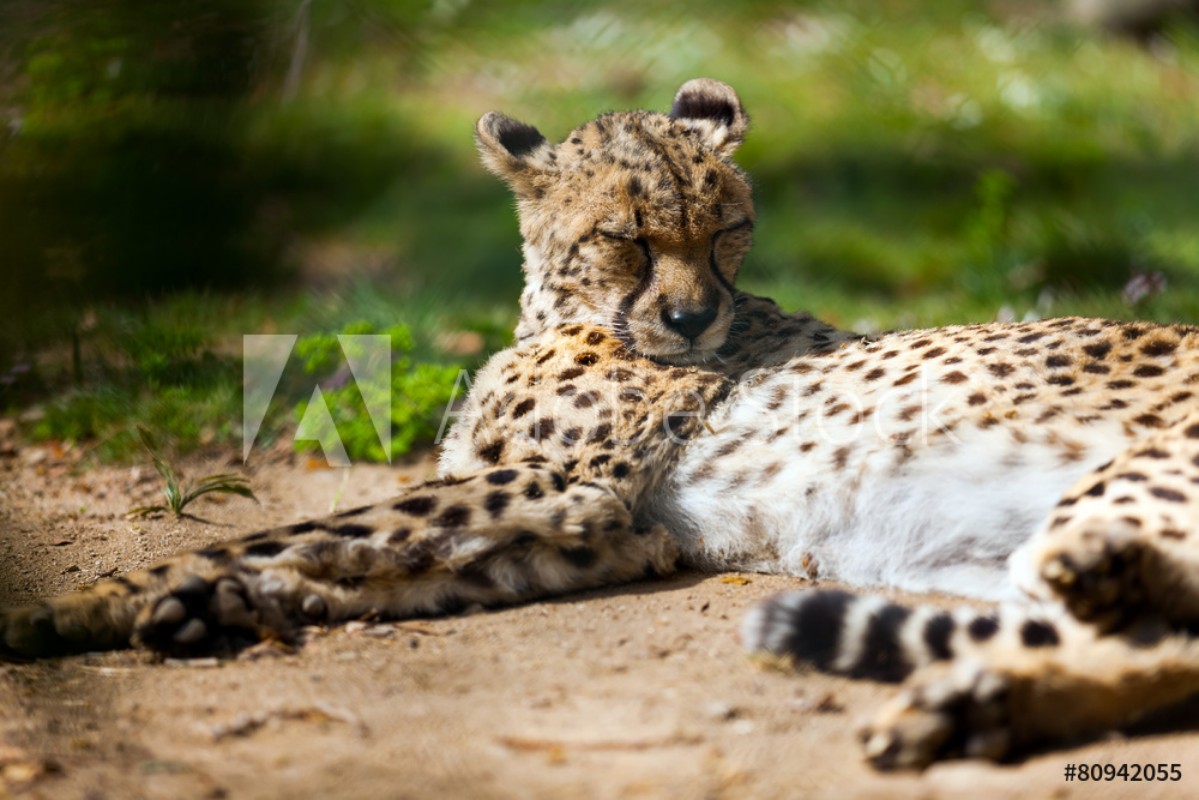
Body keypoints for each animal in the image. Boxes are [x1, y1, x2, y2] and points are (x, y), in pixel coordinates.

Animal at [7, 79, 1199, 767]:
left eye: (725, 229)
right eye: (628, 236)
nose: (692, 314)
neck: (562, 313)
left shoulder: (569, 487)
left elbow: (294, 526)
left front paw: (83, 602)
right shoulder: (609, 528)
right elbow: (384, 560)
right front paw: (210, 605)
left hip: (1119, 487)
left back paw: (970, 698)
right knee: (1152, 647)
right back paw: (975, 706)